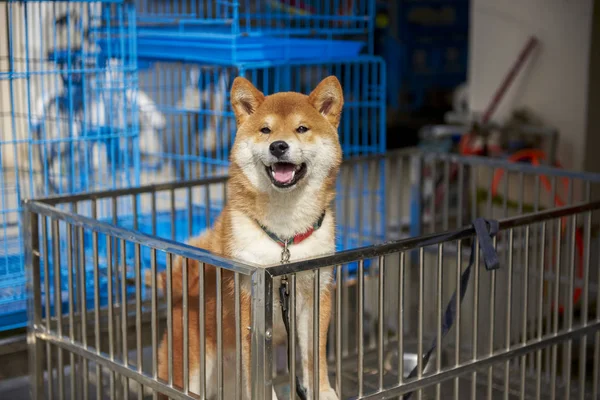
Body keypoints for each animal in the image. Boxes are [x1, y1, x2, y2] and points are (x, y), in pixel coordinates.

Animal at [157, 76, 344, 400]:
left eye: (302, 128)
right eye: (265, 130)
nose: (278, 146)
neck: (285, 239)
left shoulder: (316, 293)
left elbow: (315, 356)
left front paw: (324, 392)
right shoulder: (249, 302)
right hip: (188, 371)